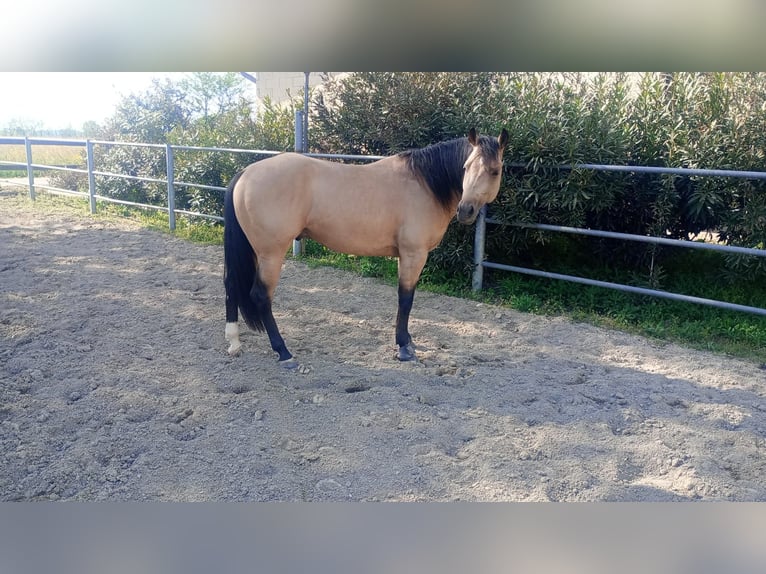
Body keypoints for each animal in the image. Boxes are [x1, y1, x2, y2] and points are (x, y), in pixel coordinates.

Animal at [222, 128, 510, 366]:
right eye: (466, 167)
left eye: (494, 170)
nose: (466, 210)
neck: (424, 183)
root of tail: (246, 173)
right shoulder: (414, 254)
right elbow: (406, 298)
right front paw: (404, 347)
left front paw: (407, 341)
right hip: (271, 254)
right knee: (261, 296)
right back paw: (283, 352)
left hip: (255, 252)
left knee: (232, 284)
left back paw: (234, 342)